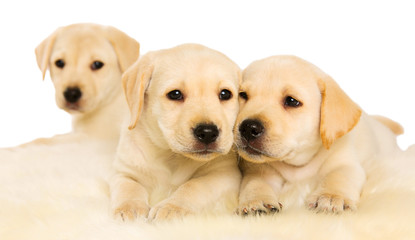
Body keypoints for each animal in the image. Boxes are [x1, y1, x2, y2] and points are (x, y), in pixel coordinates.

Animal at [110, 43, 242, 221]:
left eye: (225, 94)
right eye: (175, 94)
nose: (208, 132)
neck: (171, 155)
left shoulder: (224, 173)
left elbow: (195, 185)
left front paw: (172, 207)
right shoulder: (123, 170)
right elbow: (129, 186)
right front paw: (130, 207)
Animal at [237, 55, 404, 215]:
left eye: (291, 101)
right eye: (243, 95)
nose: (248, 128)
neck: (298, 164)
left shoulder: (346, 163)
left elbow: (338, 176)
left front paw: (331, 197)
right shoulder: (261, 169)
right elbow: (255, 182)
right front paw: (255, 201)